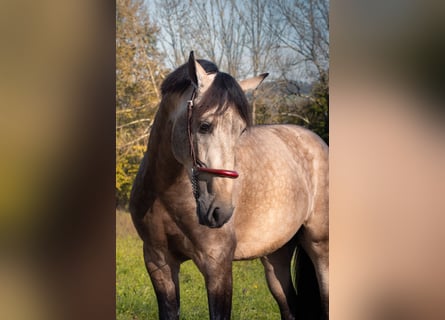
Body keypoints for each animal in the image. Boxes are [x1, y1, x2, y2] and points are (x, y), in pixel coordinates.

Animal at [128, 51, 326, 318]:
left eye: (240, 131)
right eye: (204, 126)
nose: (219, 210)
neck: (166, 195)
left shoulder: (217, 266)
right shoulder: (158, 262)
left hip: (321, 250)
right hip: (276, 257)